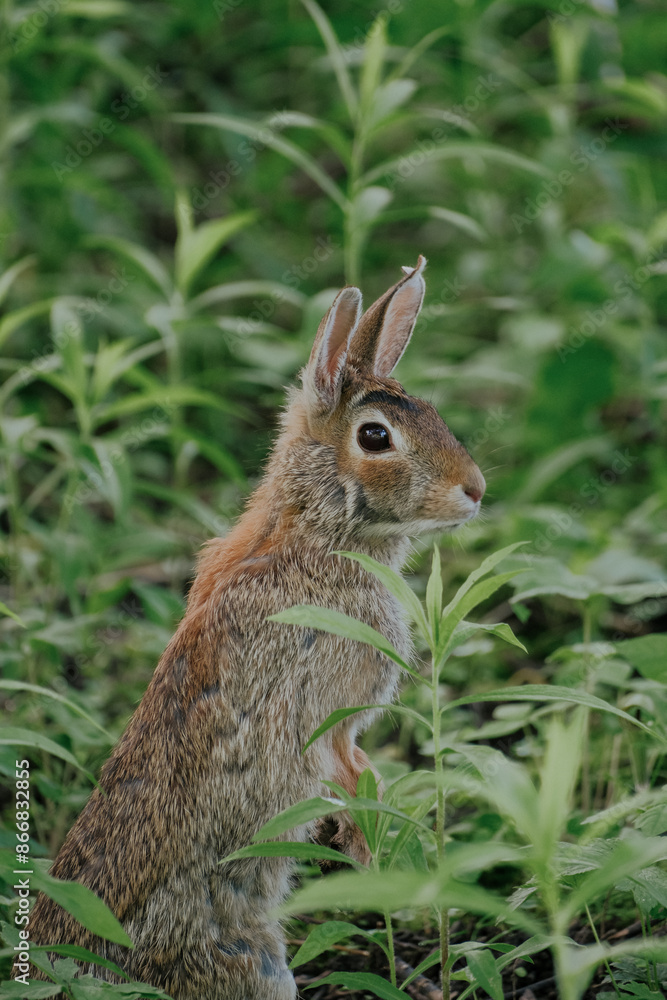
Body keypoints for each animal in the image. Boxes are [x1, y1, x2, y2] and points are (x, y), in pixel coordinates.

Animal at [26, 255, 485, 1000]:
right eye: (375, 436)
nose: (474, 489)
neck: (314, 533)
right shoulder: (330, 708)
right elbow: (345, 766)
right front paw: (367, 842)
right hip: (251, 961)